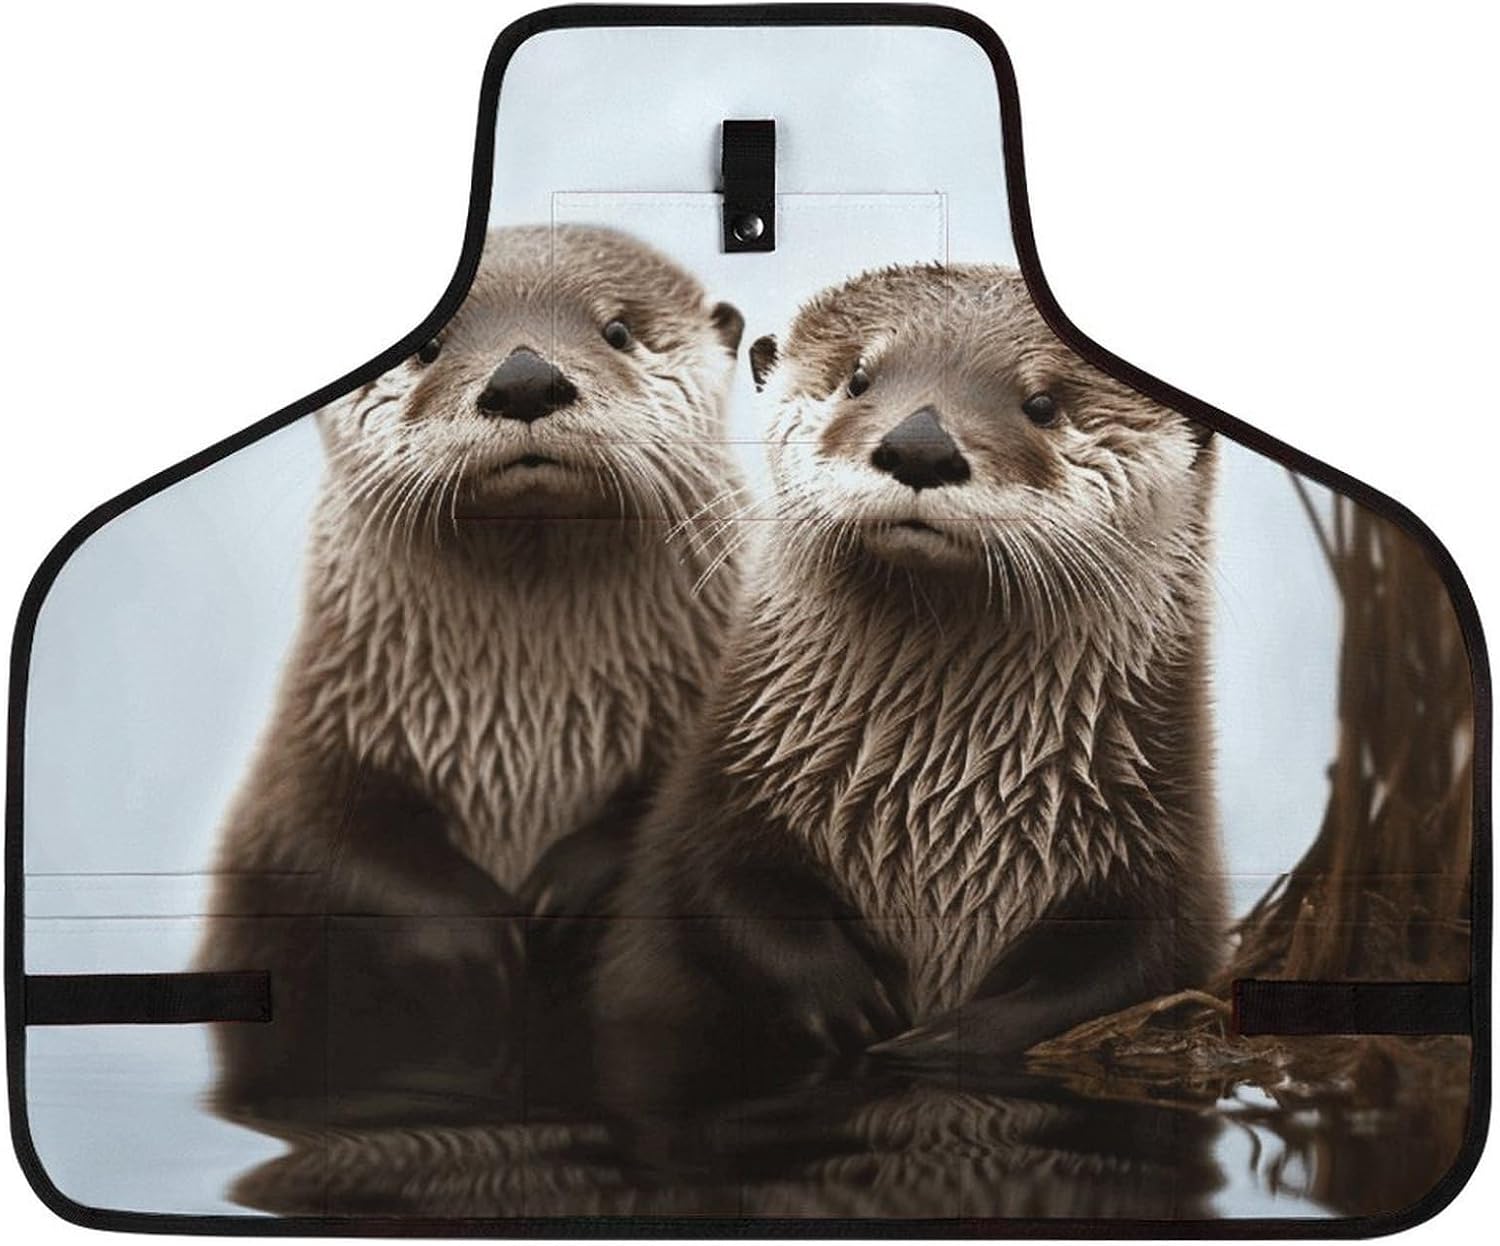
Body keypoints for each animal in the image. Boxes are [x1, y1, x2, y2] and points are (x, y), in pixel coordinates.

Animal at [194, 224, 746, 1126]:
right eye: (428, 346)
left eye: (617, 330)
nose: (524, 378)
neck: (529, 729)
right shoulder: (309, 745)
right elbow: (321, 842)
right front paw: (477, 937)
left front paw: (565, 891)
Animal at [595, 263, 1224, 1114]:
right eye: (860, 377)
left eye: (1043, 403)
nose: (919, 444)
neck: (938, 802)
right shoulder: (720, 787)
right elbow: (711, 885)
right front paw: (846, 997)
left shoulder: (1160, 839)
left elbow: (1139, 964)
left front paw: (955, 1035)